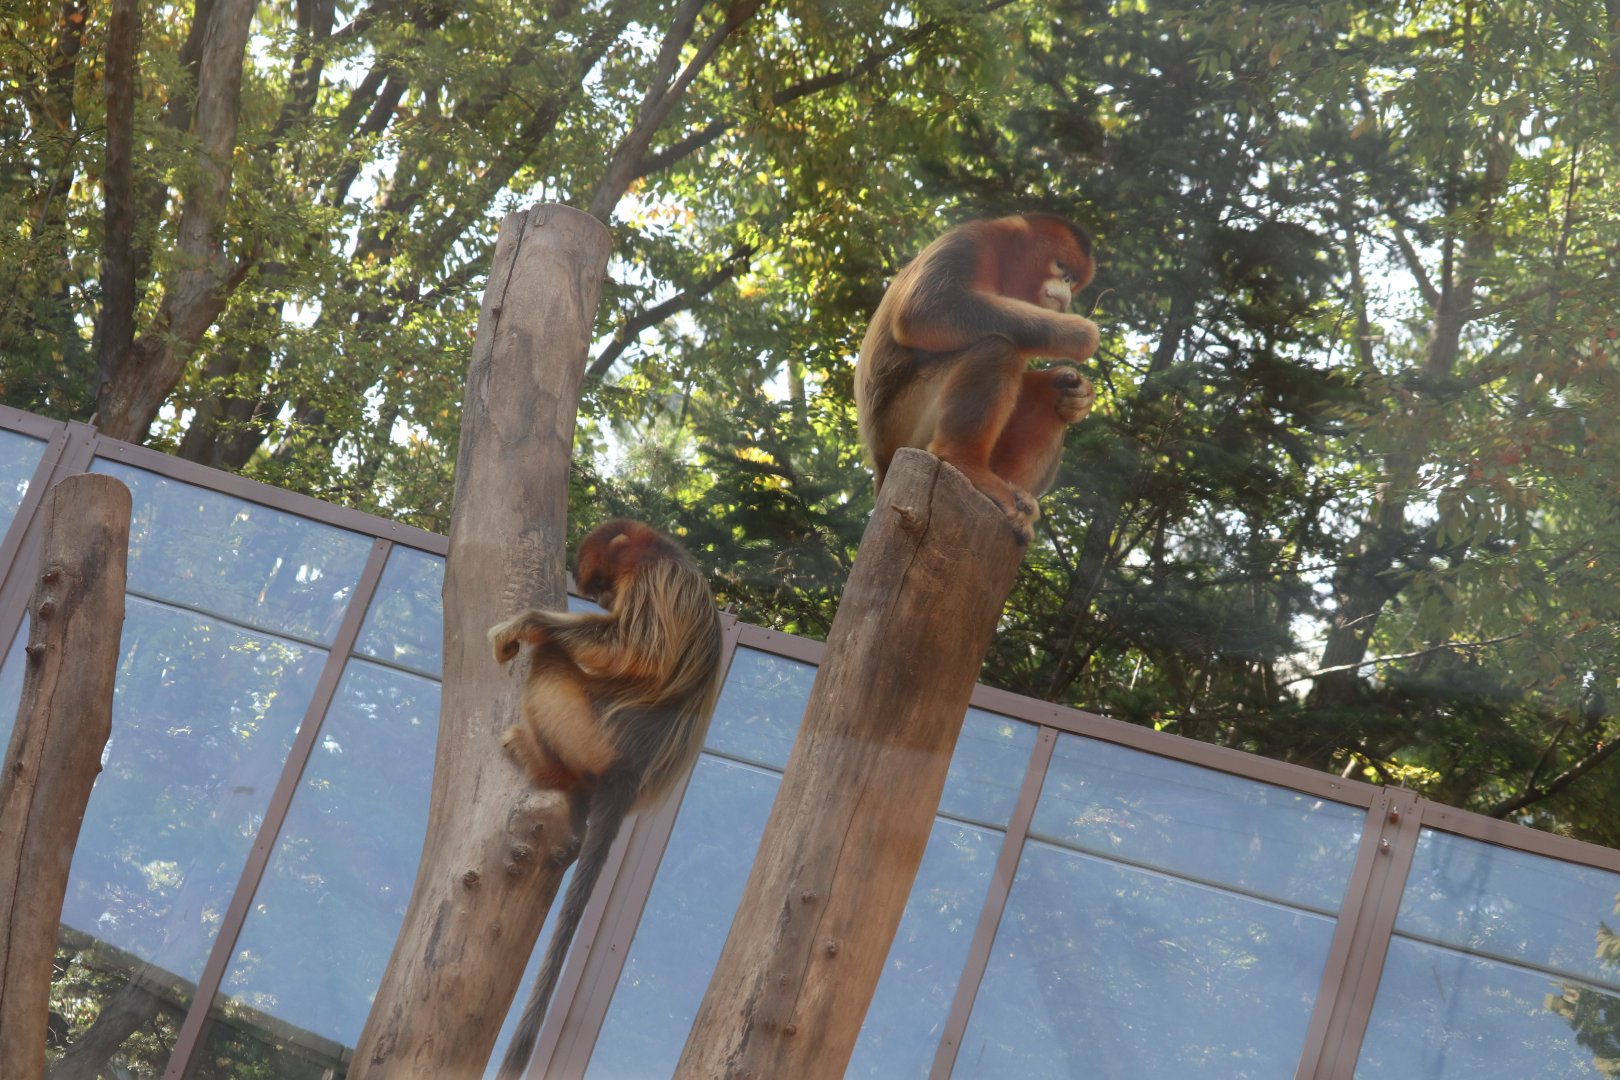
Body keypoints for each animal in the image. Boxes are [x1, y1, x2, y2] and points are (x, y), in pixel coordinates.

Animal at [488, 518, 724, 1080]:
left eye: (601, 587)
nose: (600, 601)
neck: (666, 554)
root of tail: (629, 779)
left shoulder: (655, 579)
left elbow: (635, 649)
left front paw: (530, 622)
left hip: (586, 731)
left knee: (553, 658)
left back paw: (541, 759)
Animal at [855, 213, 1101, 542]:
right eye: (1062, 268)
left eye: (1073, 280)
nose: (1066, 289)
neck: (1000, 260)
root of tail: (881, 463)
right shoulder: (968, 245)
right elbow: (926, 310)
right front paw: (1078, 333)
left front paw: (1080, 396)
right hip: (902, 422)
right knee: (997, 347)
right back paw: (964, 463)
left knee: (1045, 392)